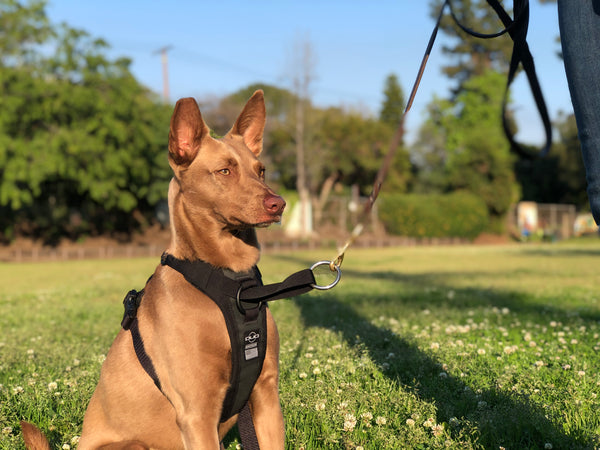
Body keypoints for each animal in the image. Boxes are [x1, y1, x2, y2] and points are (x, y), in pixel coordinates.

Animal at [21, 89, 288, 448]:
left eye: (261, 171)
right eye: (224, 171)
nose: (279, 204)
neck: (231, 278)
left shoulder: (265, 395)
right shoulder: (197, 412)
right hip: (135, 443)